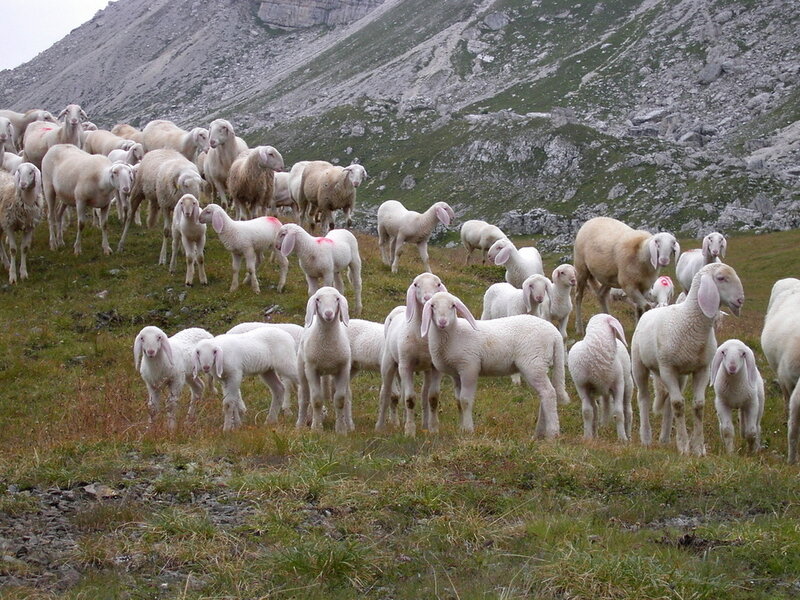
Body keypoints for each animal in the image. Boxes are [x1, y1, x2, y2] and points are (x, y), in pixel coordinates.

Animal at [296, 287, 352, 433]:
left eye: (337, 299)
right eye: (317, 299)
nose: (328, 314)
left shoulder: (344, 369)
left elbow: (340, 400)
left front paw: (341, 430)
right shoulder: (311, 369)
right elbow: (316, 400)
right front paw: (317, 428)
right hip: (302, 369)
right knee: (304, 397)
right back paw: (300, 424)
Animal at [376, 273, 449, 436]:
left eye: (438, 284)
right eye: (416, 284)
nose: (428, 298)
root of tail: (399, 310)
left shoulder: (436, 368)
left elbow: (433, 398)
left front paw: (433, 429)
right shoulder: (406, 366)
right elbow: (409, 399)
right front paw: (409, 431)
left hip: (425, 370)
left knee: (423, 395)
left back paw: (424, 424)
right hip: (389, 363)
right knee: (385, 393)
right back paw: (380, 425)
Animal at [421, 291, 569, 437]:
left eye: (452, 305)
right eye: (432, 306)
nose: (442, 322)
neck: (454, 334)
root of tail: (555, 334)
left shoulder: (469, 367)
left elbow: (465, 400)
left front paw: (468, 430)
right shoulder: (456, 373)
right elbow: (458, 401)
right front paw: (461, 428)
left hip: (534, 363)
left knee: (549, 393)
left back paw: (552, 433)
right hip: (538, 365)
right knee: (544, 394)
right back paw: (539, 433)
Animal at [568, 314, 632, 442]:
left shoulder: (618, 384)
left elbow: (619, 412)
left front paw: (622, 439)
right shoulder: (582, 386)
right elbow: (587, 412)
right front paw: (587, 437)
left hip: (627, 384)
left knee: (627, 410)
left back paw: (628, 436)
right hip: (594, 391)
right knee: (595, 411)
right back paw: (595, 436)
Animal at [631, 262, 744, 455]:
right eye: (721, 278)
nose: (740, 300)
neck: (688, 321)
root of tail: (652, 310)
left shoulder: (702, 369)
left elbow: (698, 406)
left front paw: (698, 448)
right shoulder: (667, 368)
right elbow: (678, 404)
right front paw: (684, 446)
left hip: (680, 375)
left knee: (667, 401)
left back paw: (664, 438)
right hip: (640, 365)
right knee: (644, 398)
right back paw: (646, 437)